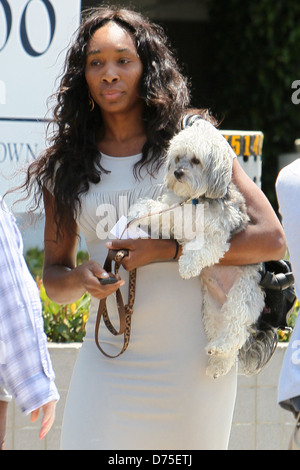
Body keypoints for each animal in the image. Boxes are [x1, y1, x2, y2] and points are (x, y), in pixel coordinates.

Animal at [127, 119, 268, 380]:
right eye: (177, 158)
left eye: (195, 160)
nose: (177, 173)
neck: (195, 199)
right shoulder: (175, 215)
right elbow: (159, 212)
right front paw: (139, 211)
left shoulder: (219, 234)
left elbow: (204, 247)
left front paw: (187, 265)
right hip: (211, 312)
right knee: (225, 338)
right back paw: (217, 362)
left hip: (243, 294)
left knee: (236, 331)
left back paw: (220, 347)